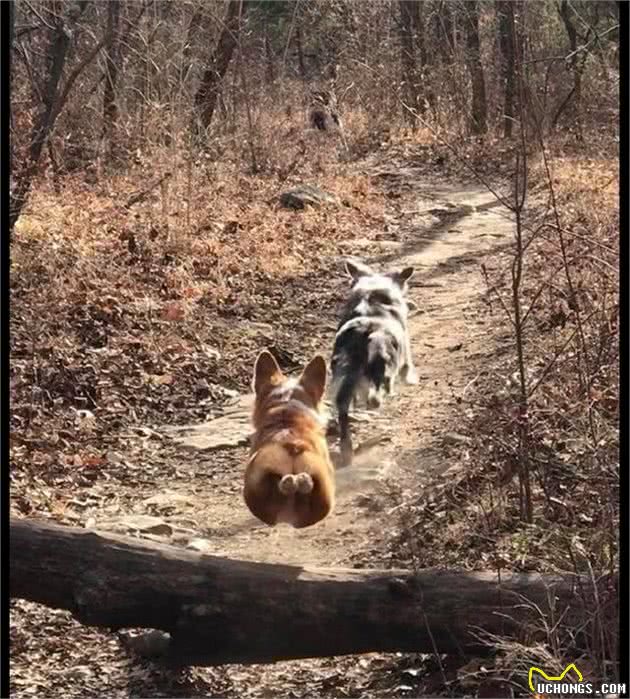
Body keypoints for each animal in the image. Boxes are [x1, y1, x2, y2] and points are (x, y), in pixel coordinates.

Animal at [330, 262, 420, 464]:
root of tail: (364, 332)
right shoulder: (405, 342)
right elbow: (407, 364)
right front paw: (410, 379)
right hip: (383, 365)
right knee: (374, 396)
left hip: (342, 375)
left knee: (343, 409)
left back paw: (346, 449)